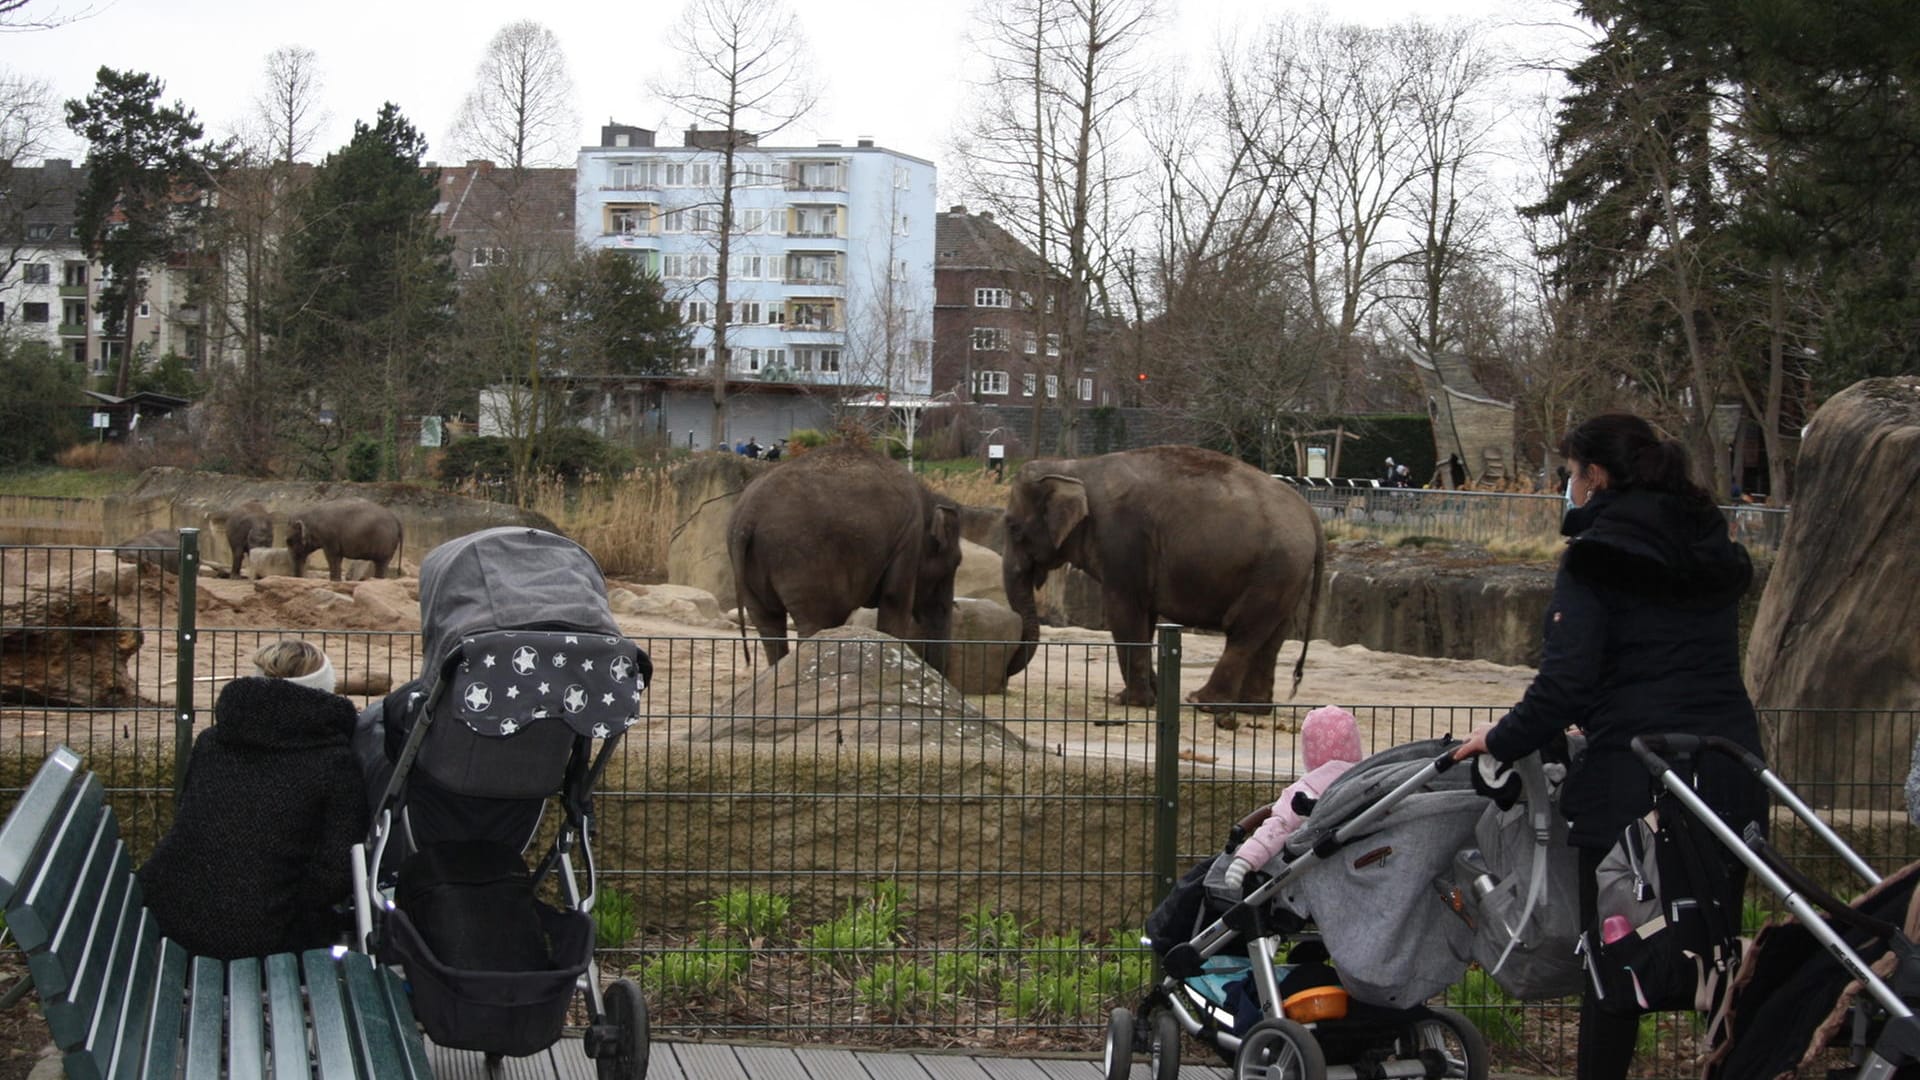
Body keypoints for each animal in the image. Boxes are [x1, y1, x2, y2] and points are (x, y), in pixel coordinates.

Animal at [721, 441, 960, 668]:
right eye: (956, 563)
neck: (928, 502)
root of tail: (749, 512)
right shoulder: (909, 539)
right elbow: (894, 601)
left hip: (750, 565)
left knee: (769, 625)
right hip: (802, 558)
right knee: (815, 622)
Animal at [1006, 441, 1320, 711]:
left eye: (1012, 527)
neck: (1072, 469)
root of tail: (1311, 514)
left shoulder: (1122, 540)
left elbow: (1123, 611)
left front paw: (1130, 702)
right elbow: (1144, 617)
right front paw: (1151, 696)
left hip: (1274, 571)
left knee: (1243, 631)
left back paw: (1202, 702)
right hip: (1289, 576)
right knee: (1273, 636)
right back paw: (1252, 709)